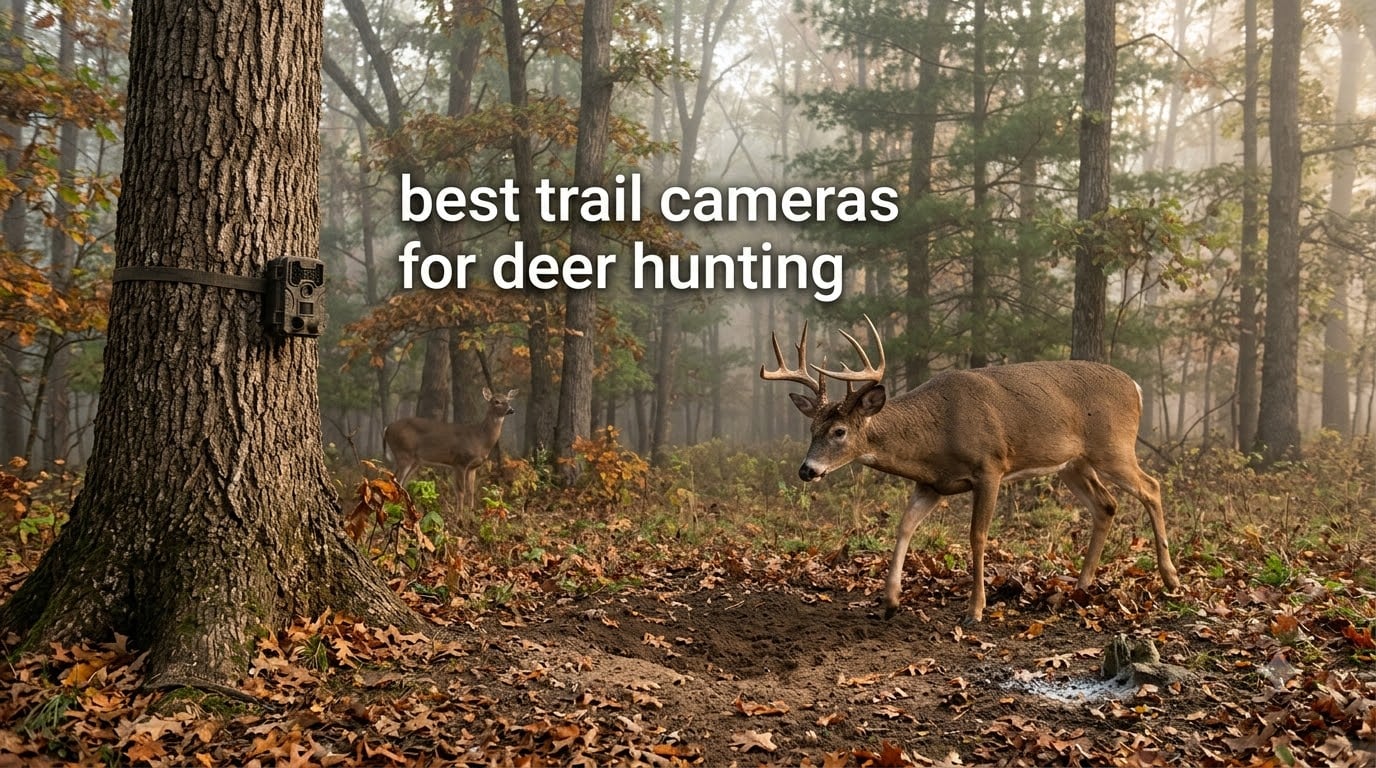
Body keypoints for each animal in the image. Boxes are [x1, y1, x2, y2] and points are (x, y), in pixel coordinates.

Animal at [383, 388, 518, 514]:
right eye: (496, 401)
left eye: (508, 400)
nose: (511, 410)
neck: (480, 438)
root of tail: (387, 428)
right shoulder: (460, 461)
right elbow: (461, 491)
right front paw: (459, 516)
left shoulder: (473, 467)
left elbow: (471, 491)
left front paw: (471, 513)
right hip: (404, 453)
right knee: (396, 480)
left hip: (415, 460)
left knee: (400, 482)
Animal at [762, 317, 1180, 625]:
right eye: (812, 429)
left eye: (839, 431)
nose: (807, 470)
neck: (935, 435)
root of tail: (1136, 387)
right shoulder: (931, 484)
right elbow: (904, 526)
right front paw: (890, 601)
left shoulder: (990, 466)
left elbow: (977, 535)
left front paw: (975, 609)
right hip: (1072, 463)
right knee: (1106, 505)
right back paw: (1080, 585)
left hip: (1113, 446)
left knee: (1152, 487)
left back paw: (1170, 578)